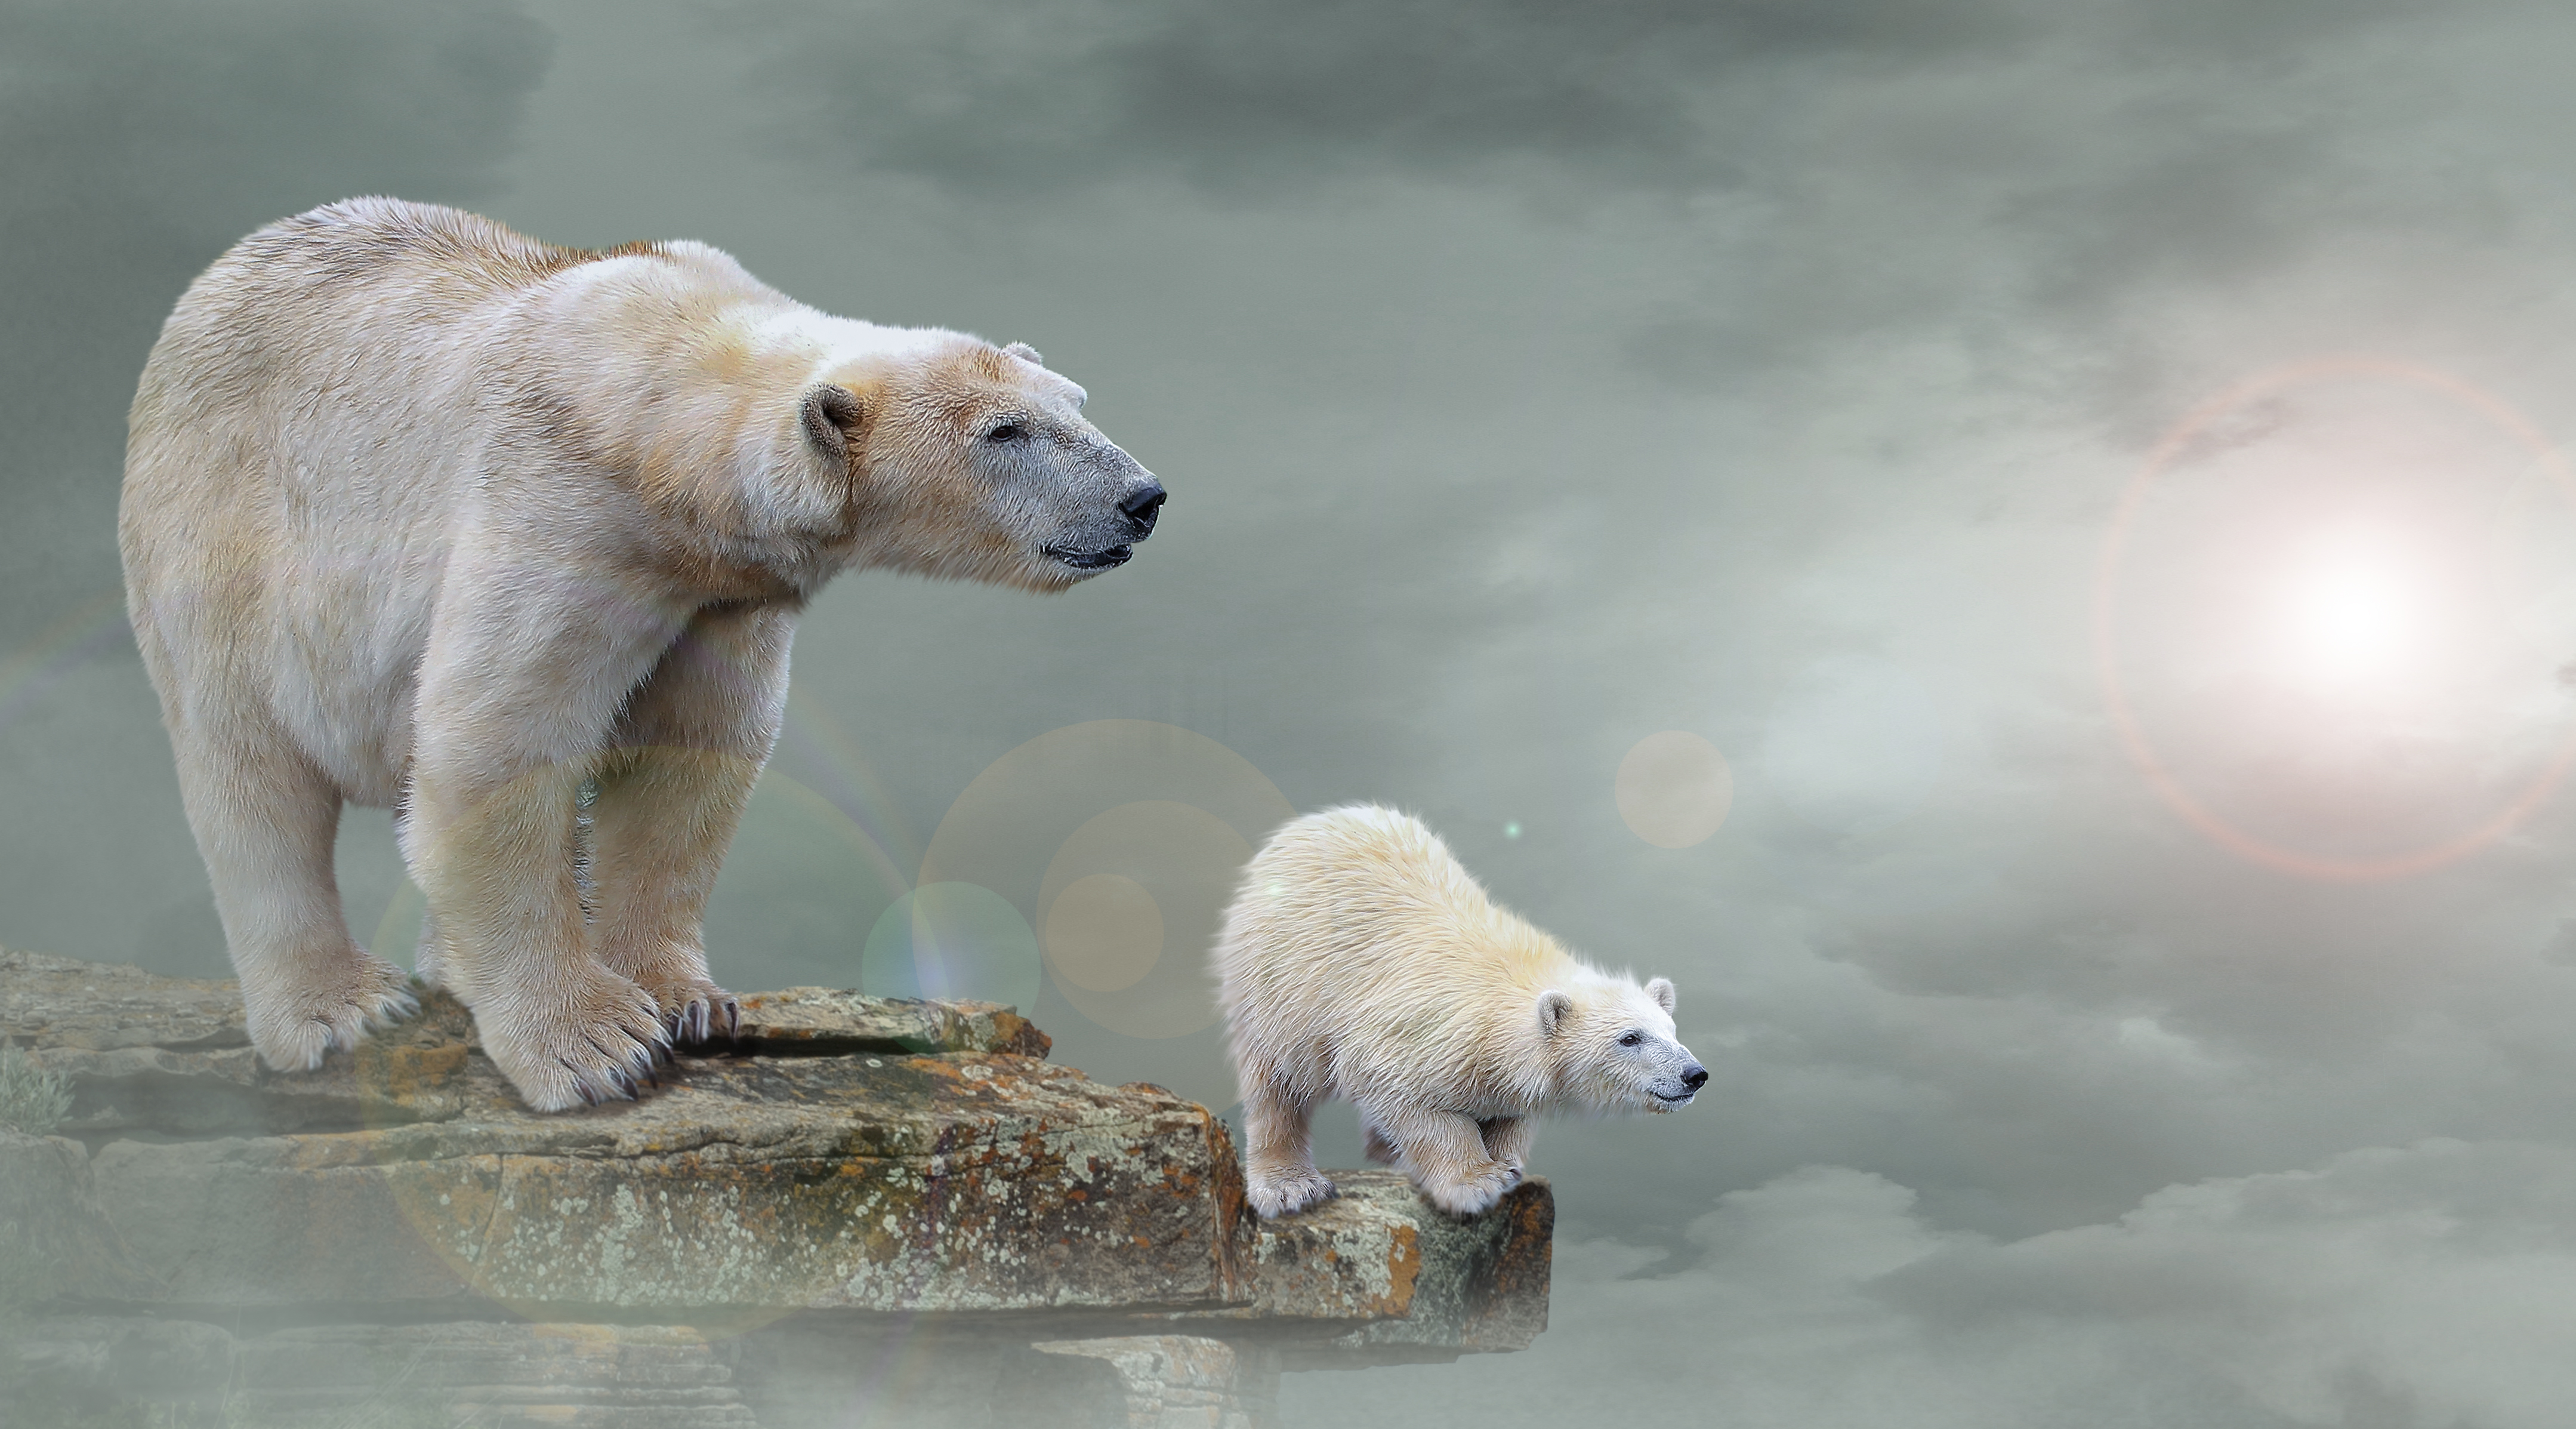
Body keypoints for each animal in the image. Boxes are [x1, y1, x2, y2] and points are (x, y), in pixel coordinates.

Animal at [120, 198, 1165, 1113]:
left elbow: (686, 763)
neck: (662, 411)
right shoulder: (564, 514)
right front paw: (593, 1048)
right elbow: (497, 748)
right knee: (251, 774)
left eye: (1075, 401)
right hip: (221, 534)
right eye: (1004, 432)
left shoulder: (720, 595)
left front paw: (687, 1001)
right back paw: (338, 1005)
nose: (1143, 497)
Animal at [1212, 805, 1706, 1218]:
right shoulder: (1410, 1031)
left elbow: (1510, 1114)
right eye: (1630, 1038)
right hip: (1283, 978)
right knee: (1278, 1081)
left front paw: (1506, 1163)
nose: (1693, 1075)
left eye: (1671, 1029)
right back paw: (1291, 1186)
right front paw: (1477, 1183)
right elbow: (1415, 1105)